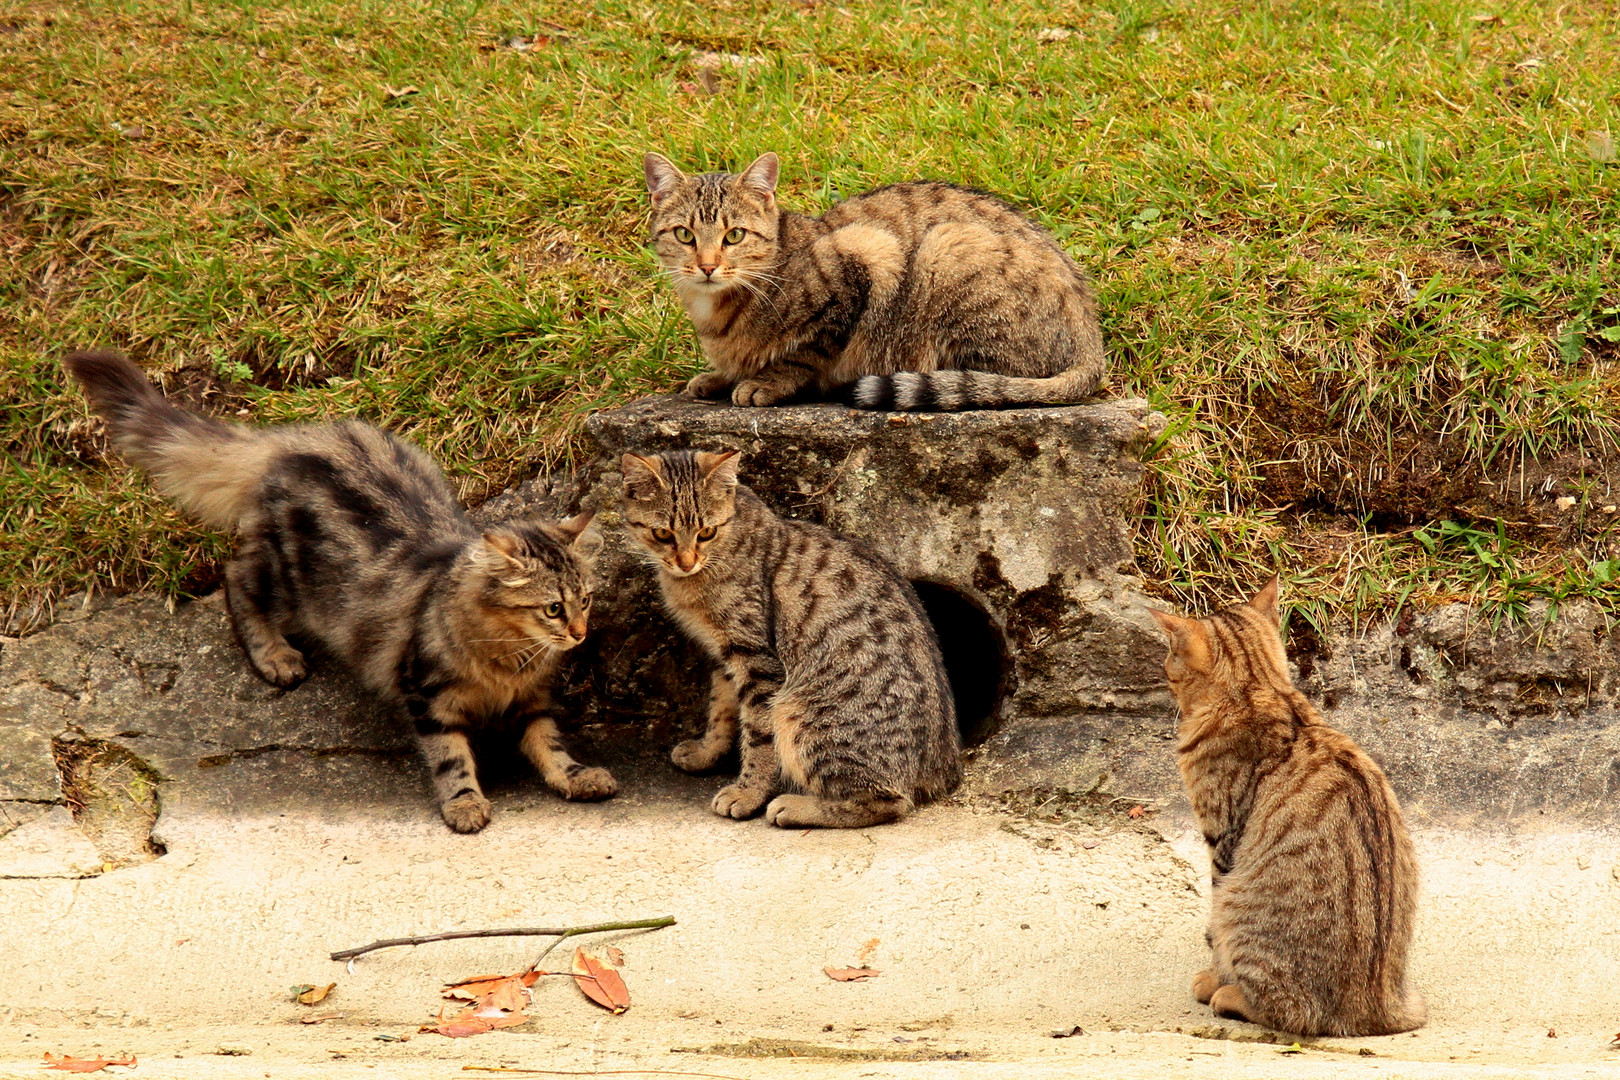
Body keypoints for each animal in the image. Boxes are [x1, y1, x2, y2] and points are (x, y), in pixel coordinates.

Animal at [66, 351, 615, 835]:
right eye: (553, 609)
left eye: (585, 600)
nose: (580, 633)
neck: (509, 659)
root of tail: (293, 438)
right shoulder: (427, 697)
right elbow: (451, 760)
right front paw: (464, 805)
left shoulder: (532, 700)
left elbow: (550, 745)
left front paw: (575, 776)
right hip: (291, 581)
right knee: (236, 577)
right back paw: (275, 657)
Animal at [612, 446, 952, 829]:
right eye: (662, 534)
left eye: (707, 532)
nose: (686, 562)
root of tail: (942, 770)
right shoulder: (724, 653)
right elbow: (721, 710)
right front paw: (705, 753)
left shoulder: (755, 658)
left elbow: (758, 735)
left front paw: (748, 793)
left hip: (799, 712)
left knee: (889, 801)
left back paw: (795, 807)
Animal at [644, 153, 1114, 417]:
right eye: (684, 235)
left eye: (734, 236)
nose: (707, 266)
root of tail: (1092, 342)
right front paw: (720, 377)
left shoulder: (863, 260)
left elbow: (805, 351)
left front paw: (767, 381)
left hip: (948, 249)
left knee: (998, 382)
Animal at [1146, 579, 1425, 1042]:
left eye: (1170, 657)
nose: (1162, 671)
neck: (1259, 687)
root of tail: (1375, 1012)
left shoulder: (1222, 840)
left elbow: (1215, 934)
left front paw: (1214, 979)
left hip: (1240, 907)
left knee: (1293, 1012)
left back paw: (1230, 996)